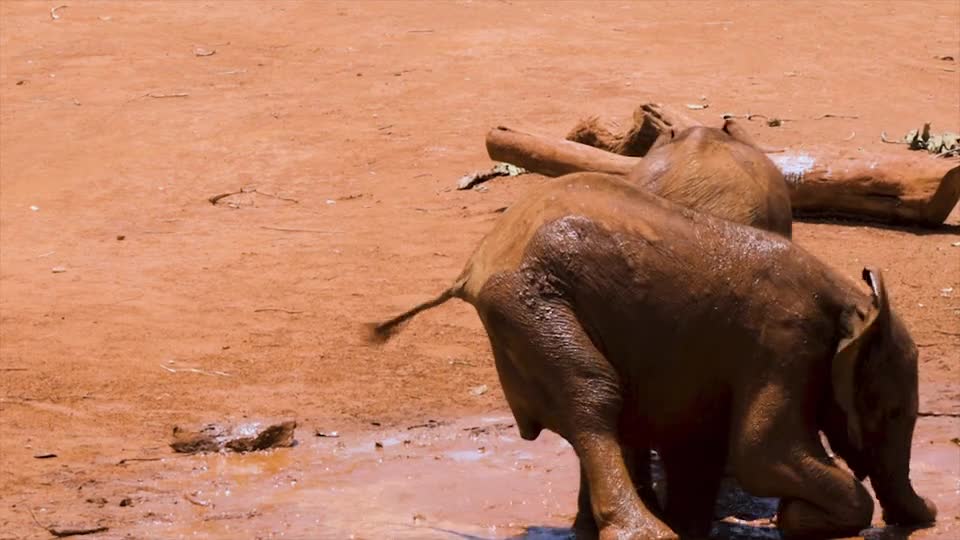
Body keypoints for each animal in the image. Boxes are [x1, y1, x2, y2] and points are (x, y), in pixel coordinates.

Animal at [370, 173, 936, 540]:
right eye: (892, 413)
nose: (929, 514)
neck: (852, 302)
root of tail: (477, 261)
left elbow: (703, 443)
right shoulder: (786, 344)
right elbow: (762, 453)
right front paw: (797, 519)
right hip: (529, 304)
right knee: (595, 395)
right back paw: (643, 531)